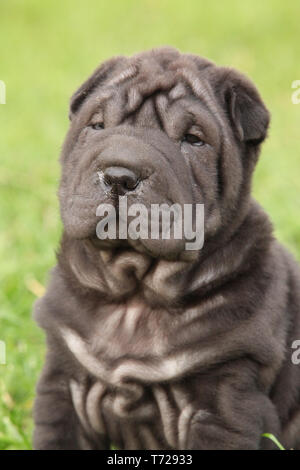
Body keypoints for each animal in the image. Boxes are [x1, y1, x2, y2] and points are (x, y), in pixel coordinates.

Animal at [32, 46, 300, 450]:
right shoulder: (63, 387)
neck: (135, 295)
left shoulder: (224, 404)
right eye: (97, 126)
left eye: (193, 139)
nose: (119, 175)